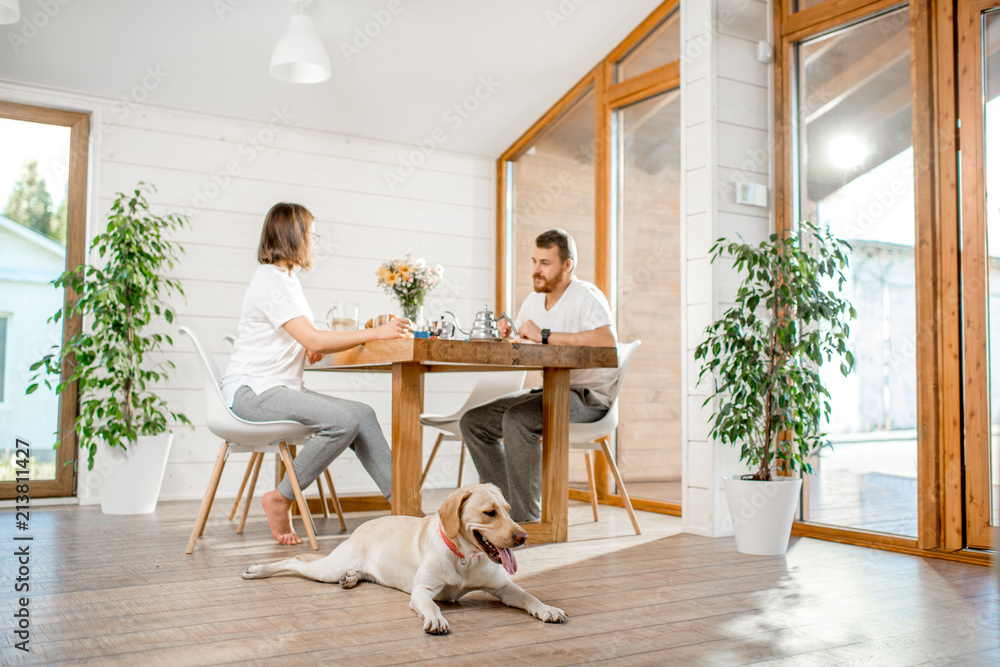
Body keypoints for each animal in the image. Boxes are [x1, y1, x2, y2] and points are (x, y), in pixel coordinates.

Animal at [241, 482, 568, 636]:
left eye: (510, 511)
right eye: (490, 513)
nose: (523, 537)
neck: (464, 557)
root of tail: (361, 527)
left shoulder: (504, 588)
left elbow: (529, 596)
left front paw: (548, 609)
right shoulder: (422, 591)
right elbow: (432, 606)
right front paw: (436, 619)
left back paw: (352, 577)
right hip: (327, 568)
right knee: (295, 562)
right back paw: (258, 569)